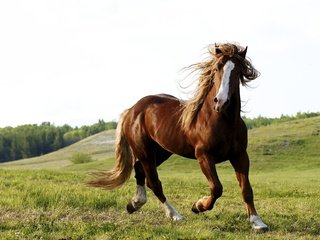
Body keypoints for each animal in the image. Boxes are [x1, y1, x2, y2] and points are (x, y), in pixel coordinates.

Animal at [87, 42, 268, 231]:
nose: (221, 102)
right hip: (145, 152)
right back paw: (175, 215)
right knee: (154, 182)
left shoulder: (240, 155)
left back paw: (134, 204)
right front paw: (198, 206)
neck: (222, 120)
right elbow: (217, 188)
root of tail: (132, 110)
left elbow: (246, 189)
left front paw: (257, 222)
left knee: (140, 170)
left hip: (161, 152)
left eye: (238, 70)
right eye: (217, 68)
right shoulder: (204, 156)